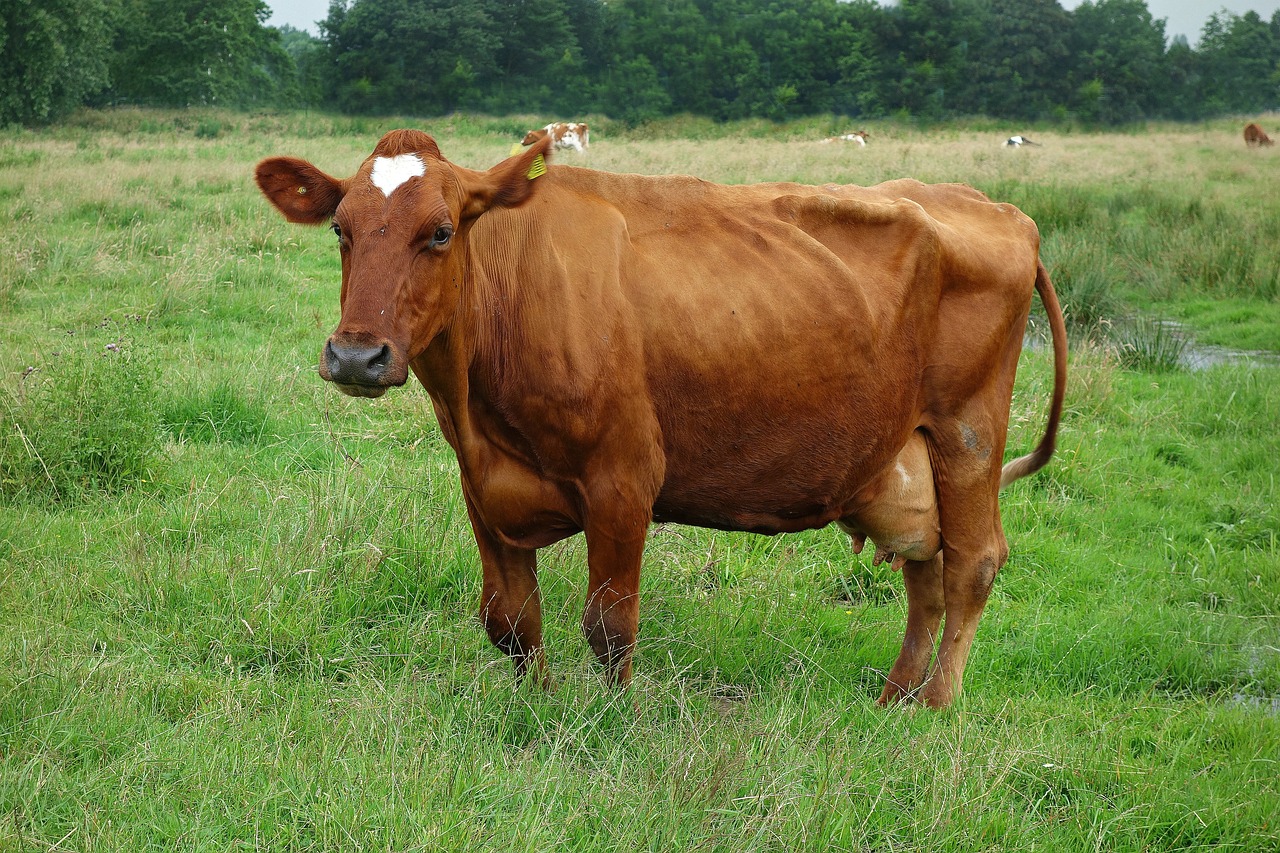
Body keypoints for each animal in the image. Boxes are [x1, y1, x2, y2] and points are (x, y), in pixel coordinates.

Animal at [254, 129, 1064, 706]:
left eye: (442, 231)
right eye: (340, 230)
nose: (356, 355)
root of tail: (998, 209)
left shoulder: (623, 481)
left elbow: (609, 626)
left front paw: (610, 720)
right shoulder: (484, 490)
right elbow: (510, 621)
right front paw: (535, 705)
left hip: (967, 437)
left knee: (972, 564)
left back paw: (935, 704)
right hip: (909, 454)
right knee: (926, 574)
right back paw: (894, 695)